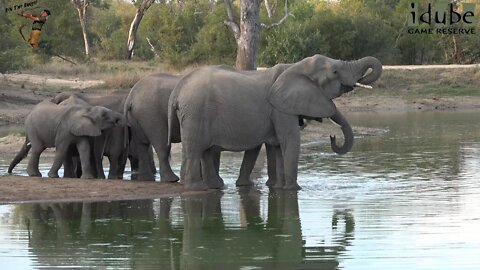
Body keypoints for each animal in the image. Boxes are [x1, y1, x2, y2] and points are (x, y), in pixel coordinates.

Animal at [169, 54, 382, 190]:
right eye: (335, 72)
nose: (332, 137)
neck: (295, 66)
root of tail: (178, 88)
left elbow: (279, 146)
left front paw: (279, 188)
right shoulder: (280, 109)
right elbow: (290, 141)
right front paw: (294, 189)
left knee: (203, 150)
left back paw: (213, 186)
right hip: (196, 113)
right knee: (195, 148)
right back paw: (196, 188)